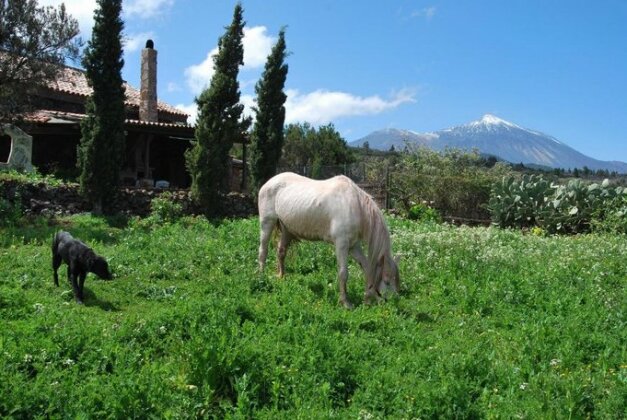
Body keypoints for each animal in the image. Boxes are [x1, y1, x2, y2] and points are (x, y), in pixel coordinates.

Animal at [256, 171, 400, 308]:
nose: (390, 302)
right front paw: (345, 302)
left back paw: (281, 276)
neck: (356, 206)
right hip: (267, 223)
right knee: (263, 250)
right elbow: (343, 273)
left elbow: (366, 267)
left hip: (287, 230)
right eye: (387, 281)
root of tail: (269, 182)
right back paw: (261, 277)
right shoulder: (341, 244)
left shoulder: (353, 246)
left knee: (281, 251)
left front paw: (369, 296)